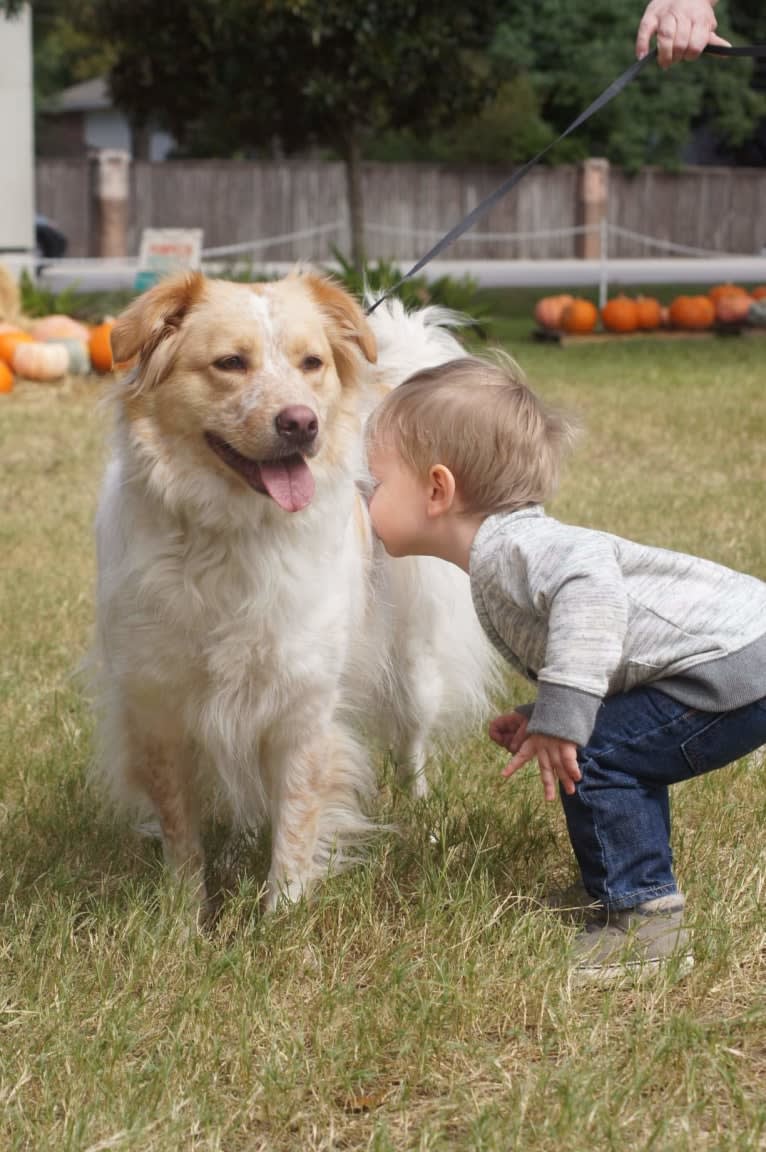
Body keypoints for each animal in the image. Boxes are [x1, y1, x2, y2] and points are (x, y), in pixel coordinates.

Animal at [92, 267, 499, 907]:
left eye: (312, 363)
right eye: (230, 363)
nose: (302, 423)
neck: (232, 534)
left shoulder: (303, 699)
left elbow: (297, 817)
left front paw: (281, 911)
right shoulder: (158, 705)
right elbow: (180, 829)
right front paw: (184, 913)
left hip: (414, 663)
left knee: (411, 737)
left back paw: (420, 805)